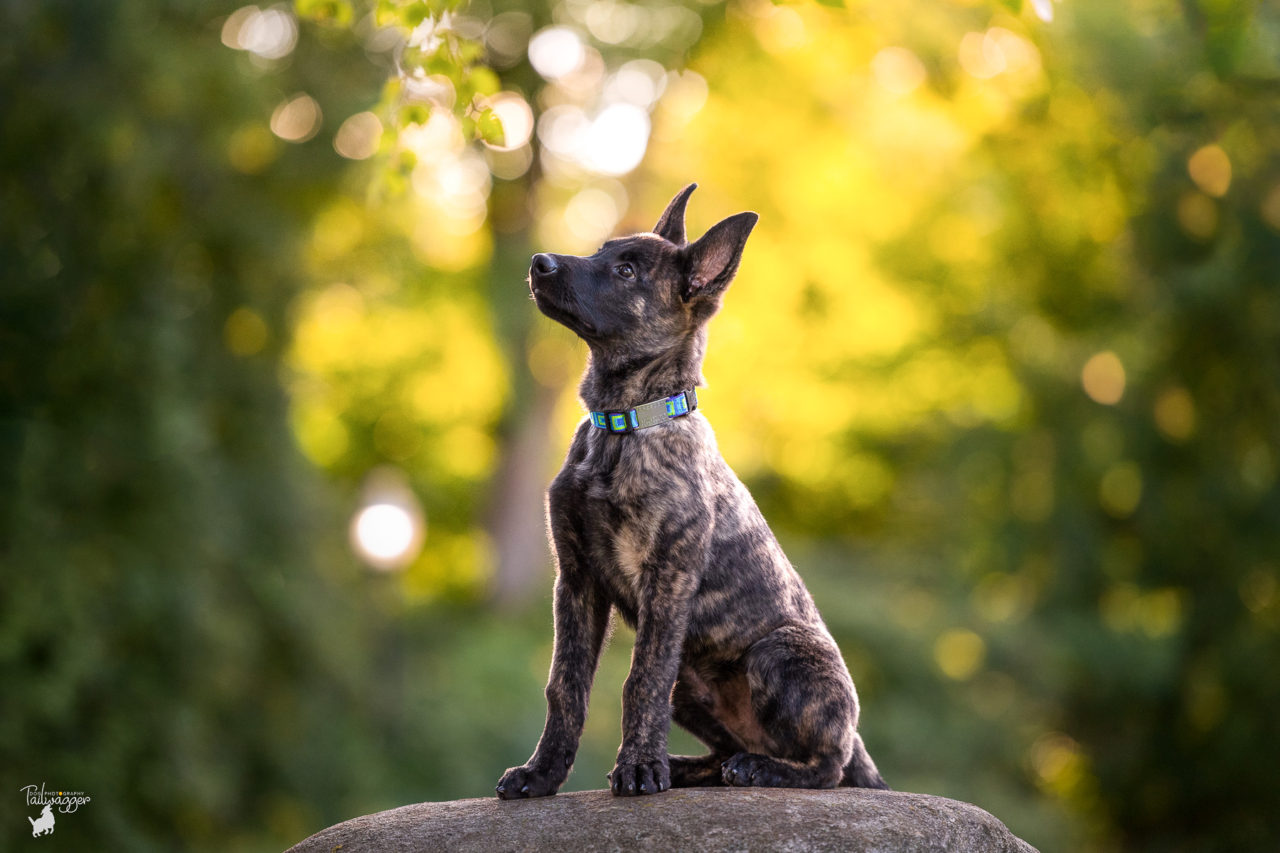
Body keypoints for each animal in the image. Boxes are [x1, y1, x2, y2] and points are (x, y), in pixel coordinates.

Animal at [494, 180, 885, 799]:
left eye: (627, 270)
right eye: (604, 251)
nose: (539, 263)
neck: (625, 424)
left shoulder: (668, 577)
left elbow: (640, 680)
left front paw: (638, 769)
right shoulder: (576, 580)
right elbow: (566, 687)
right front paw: (543, 773)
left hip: (779, 653)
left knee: (827, 765)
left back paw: (762, 769)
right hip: (692, 685)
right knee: (729, 751)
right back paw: (692, 768)